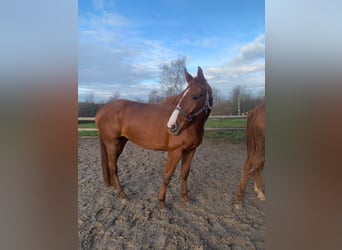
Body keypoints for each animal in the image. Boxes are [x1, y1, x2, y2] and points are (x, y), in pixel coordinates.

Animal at [95, 67, 212, 209]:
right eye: (181, 97)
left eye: (196, 96)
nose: (172, 126)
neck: (191, 127)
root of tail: (101, 110)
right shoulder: (175, 151)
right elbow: (167, 176)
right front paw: (162, 202)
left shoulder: (190, 150)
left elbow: (185, 174)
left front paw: (185, 198)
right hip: (111, 143)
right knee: (113, 166)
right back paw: (122, 194)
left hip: (119, 143)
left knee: (112, 165)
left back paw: (115, 188)